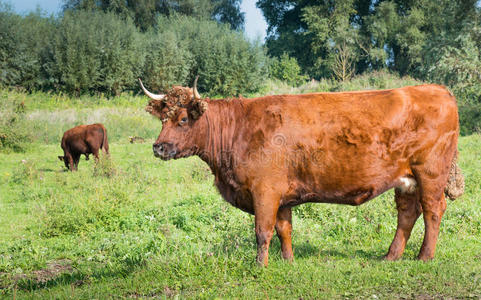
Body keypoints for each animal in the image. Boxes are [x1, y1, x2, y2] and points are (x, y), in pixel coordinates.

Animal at [139, 78, 462, 266]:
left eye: (182, 119)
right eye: (163, 119)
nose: (159, 147)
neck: (239, 129)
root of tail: (434, 88)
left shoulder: (265, 191)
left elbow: (262, 231)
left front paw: (260, 266)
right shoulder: (281, 195)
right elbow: (284, 229)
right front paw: (288, 261)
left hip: (430, 173)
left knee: (433, 210)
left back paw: (424, 256)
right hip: (405, 179)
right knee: (408, 213)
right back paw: (391, 256)